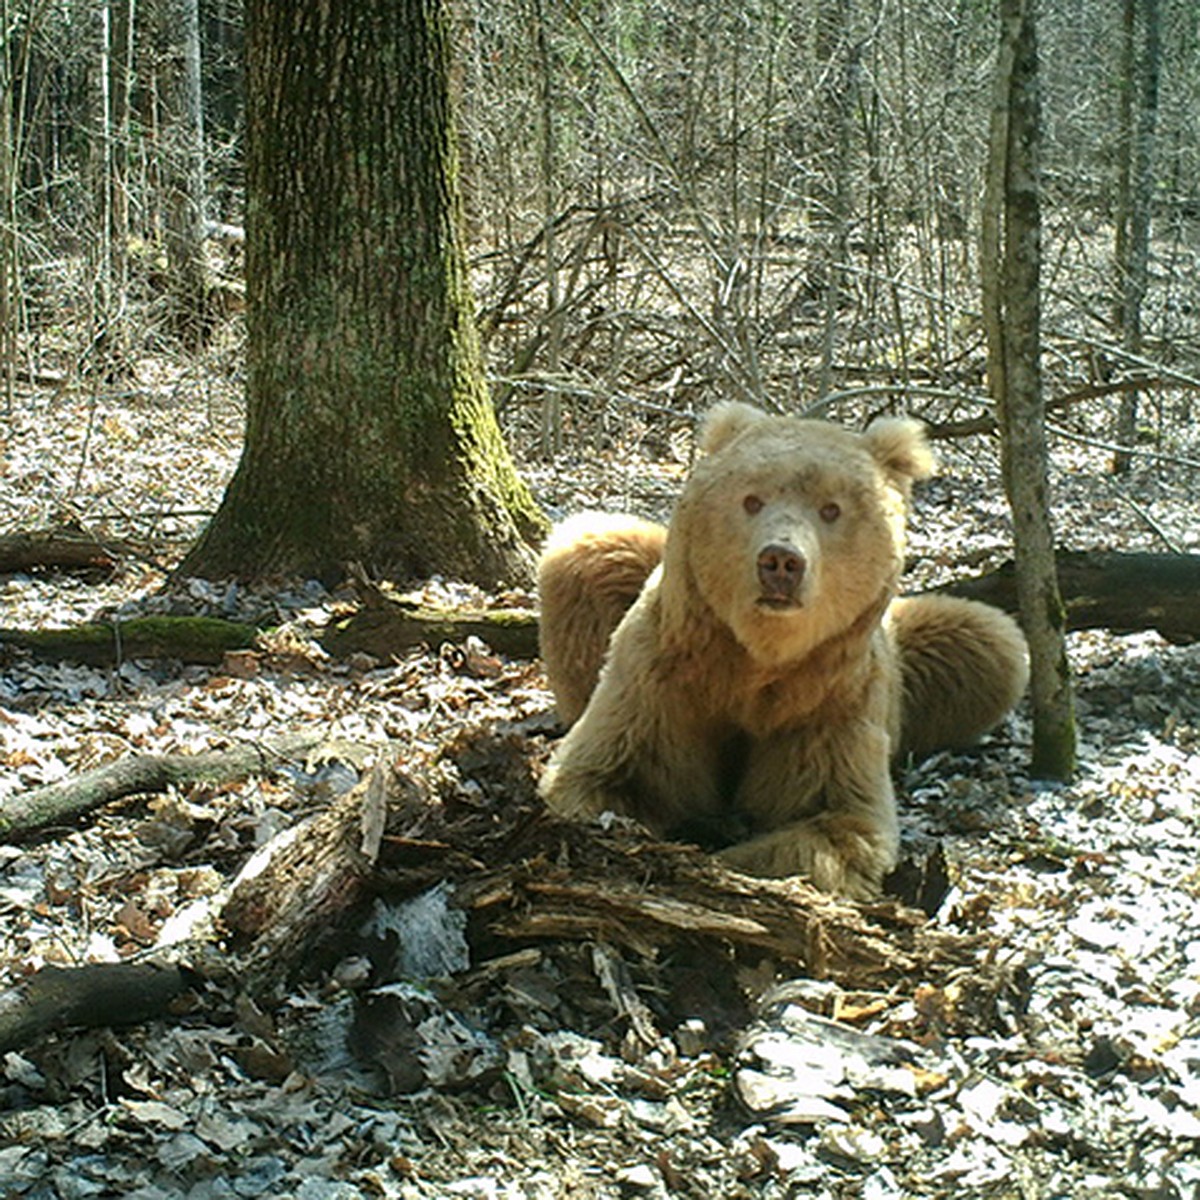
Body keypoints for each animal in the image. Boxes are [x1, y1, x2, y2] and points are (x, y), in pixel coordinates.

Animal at [540, 403, 1027, 902]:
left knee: (992, 645)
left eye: (831, 509)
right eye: (752, 499)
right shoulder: (664, 676)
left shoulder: (829, 702)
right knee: (590, 546)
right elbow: (602, 775)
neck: (757, 657)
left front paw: (733, 860)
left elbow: (834, 823)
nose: (780, 562)